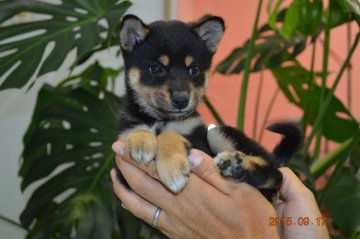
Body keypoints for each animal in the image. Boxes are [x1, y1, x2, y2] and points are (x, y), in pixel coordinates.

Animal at [116, 14, 300, 201]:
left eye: (194, 70)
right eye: (155, 68)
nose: (182, 100)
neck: (161, 119)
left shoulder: (199, 142)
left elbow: (170, 135)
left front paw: (173, 168)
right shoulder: (123, 171)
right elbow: (136, 131)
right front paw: (141, 140)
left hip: (217, 131)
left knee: (277, 175)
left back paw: (238, 165)